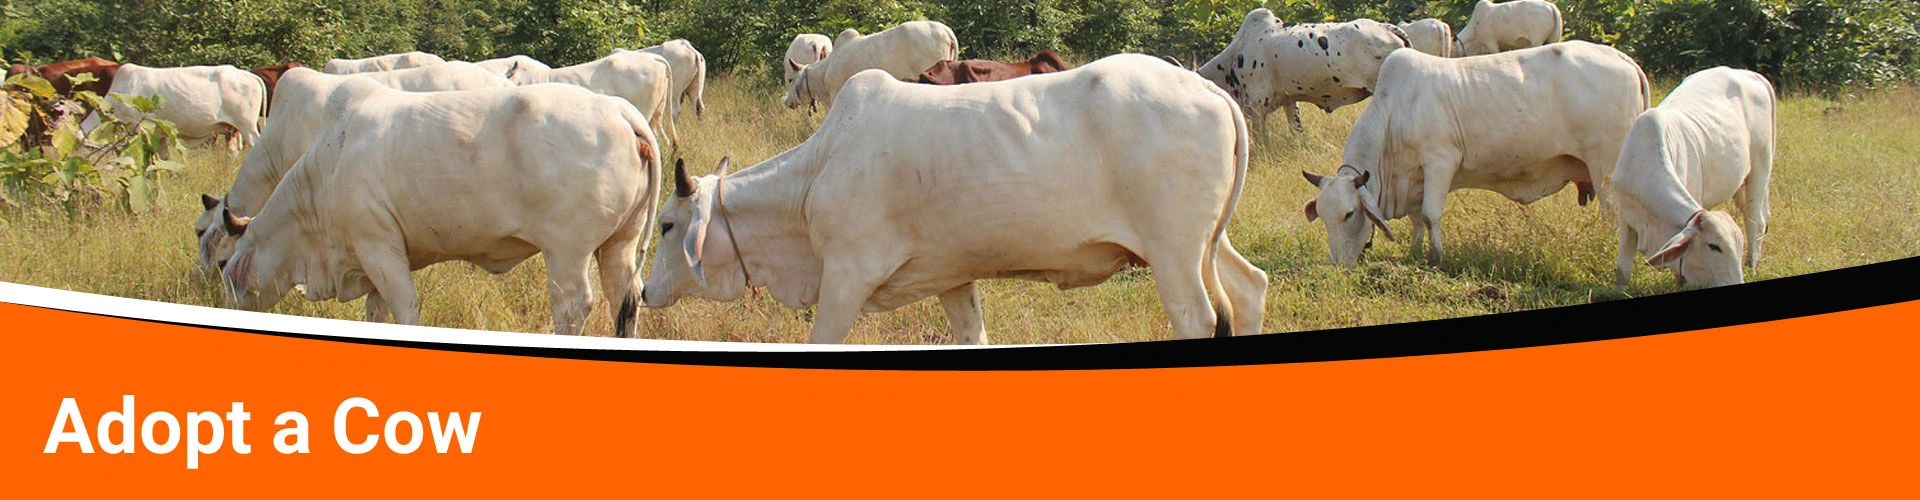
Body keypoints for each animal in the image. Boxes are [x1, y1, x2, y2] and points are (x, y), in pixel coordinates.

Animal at [216, 81, 663, 337]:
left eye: (226, 270)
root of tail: (619, 110)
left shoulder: (378, 246)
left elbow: (405, 310)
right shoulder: (372, 262)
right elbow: (375, 311)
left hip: (566, 252)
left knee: (573, 306)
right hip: (620, 243)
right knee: (624, 300)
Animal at [643, 55, 1268, 344]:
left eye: (669, 225)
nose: (646, 292)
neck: (814, 176)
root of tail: (1204, 86)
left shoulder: (845, 274)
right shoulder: (951, 277)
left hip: (1173, 252)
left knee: (1196, 316)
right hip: (1207, 242)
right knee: (1248, 287)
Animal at [1301, 42, 1649, 267]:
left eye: (1349, 214)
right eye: (1324, 217)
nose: (1337, 265)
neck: (1393, 112)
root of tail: (1623, 59)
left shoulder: (1440, 161)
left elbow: (1430, 215)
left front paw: (1437, 258)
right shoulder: (1414, 178)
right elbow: (1416, 219)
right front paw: (1415, 253)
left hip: (1605, 166)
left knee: (1613, 213)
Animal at [1611, 67, 1776, 290]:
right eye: (1714, 246)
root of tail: (1750, 74)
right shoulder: (1626, 219)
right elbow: (1622, 270)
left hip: (1760, 167)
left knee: (1754, 221)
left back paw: (1752, 264)